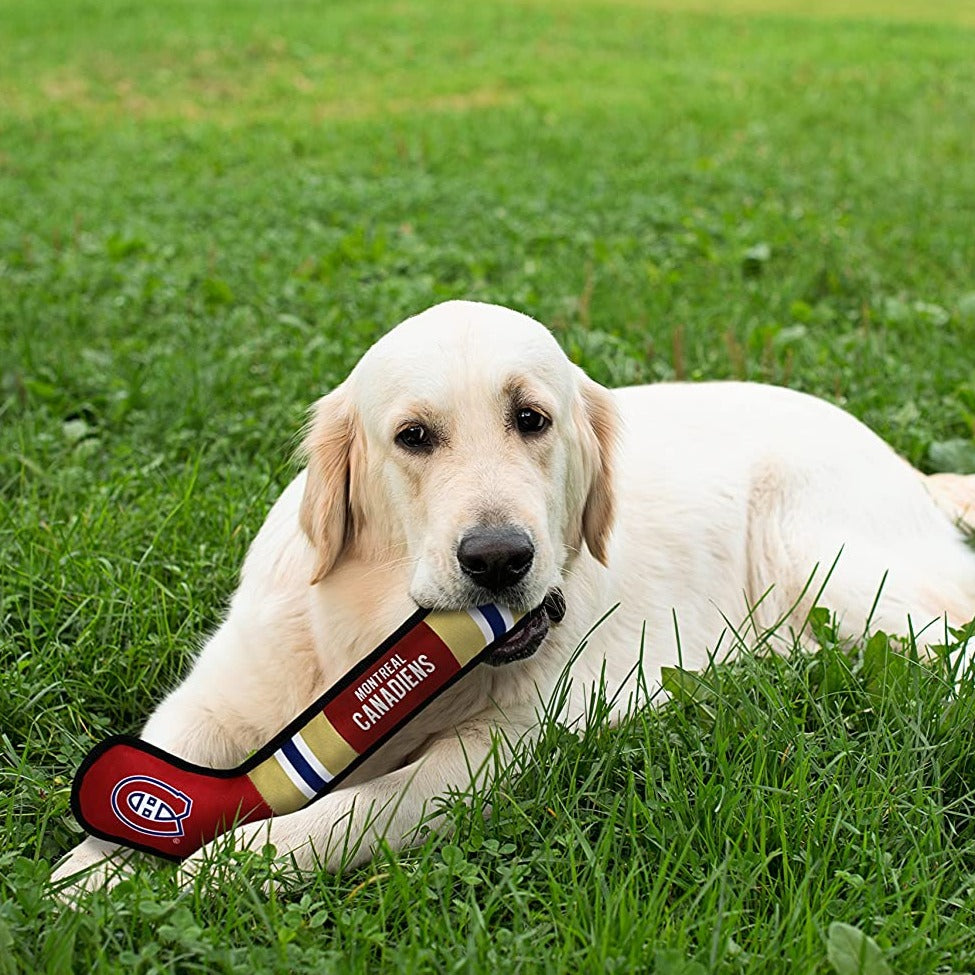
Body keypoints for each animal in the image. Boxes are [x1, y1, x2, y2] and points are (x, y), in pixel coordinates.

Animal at [51, 302, 975, 896]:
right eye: (413, 436)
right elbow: (152, 769)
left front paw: (229, 860)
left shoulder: (502, 747)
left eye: (531, 418)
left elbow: (357, 811)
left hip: (827, 566)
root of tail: (897, 459)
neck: (375, 634)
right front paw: (86, 877)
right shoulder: (219, 690)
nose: (497, 558)